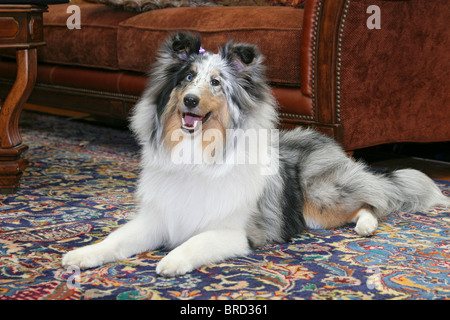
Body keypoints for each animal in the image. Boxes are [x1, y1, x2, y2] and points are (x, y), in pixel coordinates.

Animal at [62, 33, 446, 278]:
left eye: (216, 82)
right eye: (187, 77)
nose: (189, 101)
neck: (197, 152)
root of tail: (325, 140)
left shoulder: (237, 231)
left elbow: (197, 240)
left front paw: (172, 260)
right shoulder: (157, 218)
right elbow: (116, 239)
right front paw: (82, 255)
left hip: (320, 199)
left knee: (374, 201)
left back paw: (366, 224)